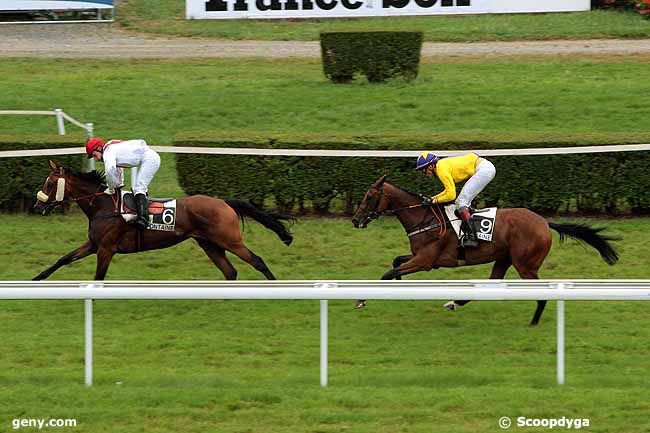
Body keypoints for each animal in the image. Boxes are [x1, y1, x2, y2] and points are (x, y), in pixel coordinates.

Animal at [31, 161, 292, 280]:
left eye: (50, 183)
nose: (38, 206)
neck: (103, 207)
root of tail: (223, 202)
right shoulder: (94, 244)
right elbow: (64, 259)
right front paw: (37, 278)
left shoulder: (106, 248)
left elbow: (99, 277)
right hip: (210, 244)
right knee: (230, 272)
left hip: (230, 240)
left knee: (257, 261)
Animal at [350, 174, 616, 326]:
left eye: (369, 196)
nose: (355, 220)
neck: (425, 218)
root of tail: (544, 222)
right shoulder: (422, 258)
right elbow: (396, 262)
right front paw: (397, 283)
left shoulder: (425, 261)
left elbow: (388, 272)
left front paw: (362, 299)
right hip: (504, 259)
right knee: (490, 283)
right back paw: (454, 303)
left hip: (525, 265)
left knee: (537, 290)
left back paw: (534, 321)